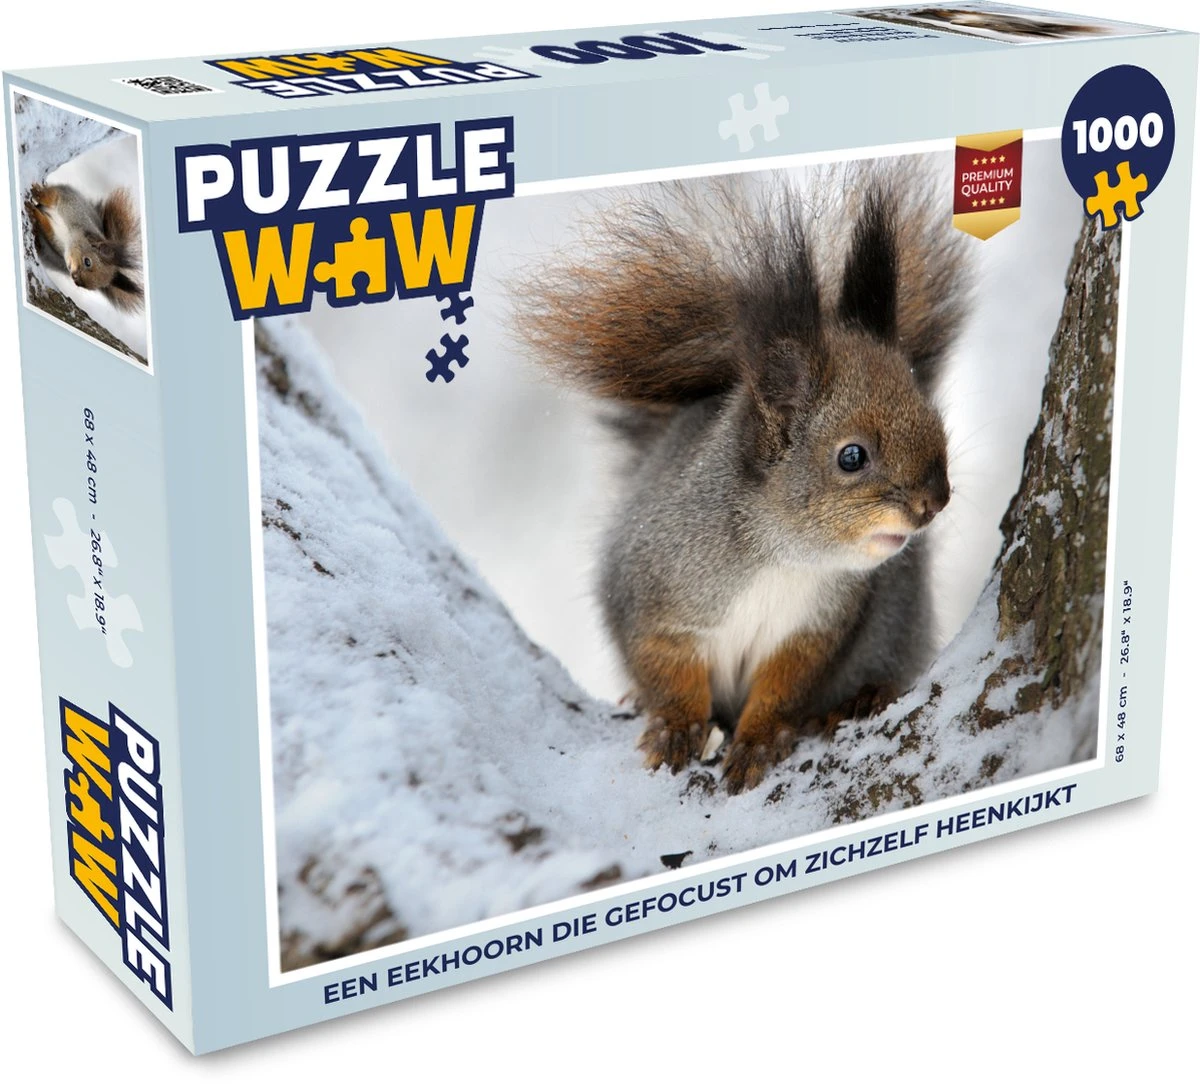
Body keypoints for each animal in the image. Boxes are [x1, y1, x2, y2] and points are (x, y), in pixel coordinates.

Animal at [24, 182, 144, 312]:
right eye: (87, 261)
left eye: (89, 287)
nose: (76, 279)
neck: (70, 234)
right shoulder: (71, 203)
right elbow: (51, 195)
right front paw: (37, 192)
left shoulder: (56, 241)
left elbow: (46, 227)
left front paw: (35, 213)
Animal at [518, 163, 971, 793]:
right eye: (851, 457)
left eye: (933, 419)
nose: (934, 501)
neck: (781, 558)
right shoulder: (654, 589)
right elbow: (663, 663)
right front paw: (674, 727)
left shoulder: (814, 631)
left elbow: (783, 688)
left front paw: (759, 739)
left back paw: (858, 700)